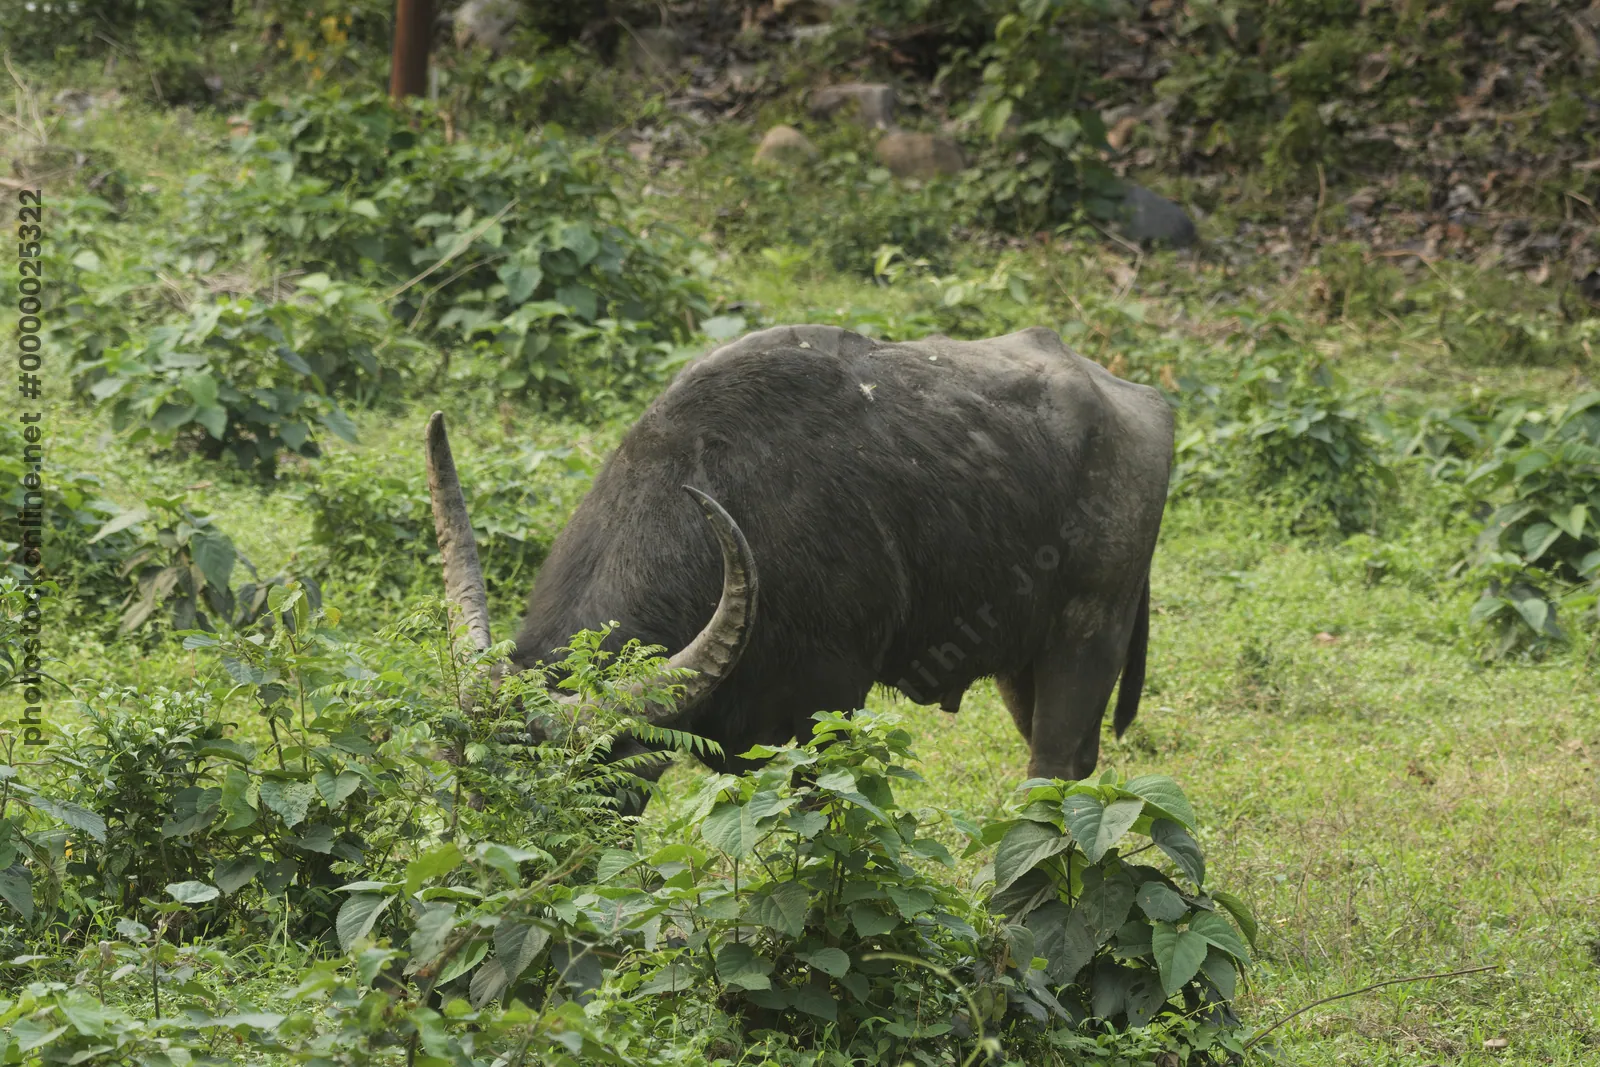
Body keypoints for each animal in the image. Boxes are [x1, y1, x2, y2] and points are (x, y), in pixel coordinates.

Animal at [426, 324, 1174, 784]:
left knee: (1052, 764)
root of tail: (1139, 402)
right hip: (1022, 662)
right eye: (462, 777)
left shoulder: (832, 702)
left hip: (1089, 637)